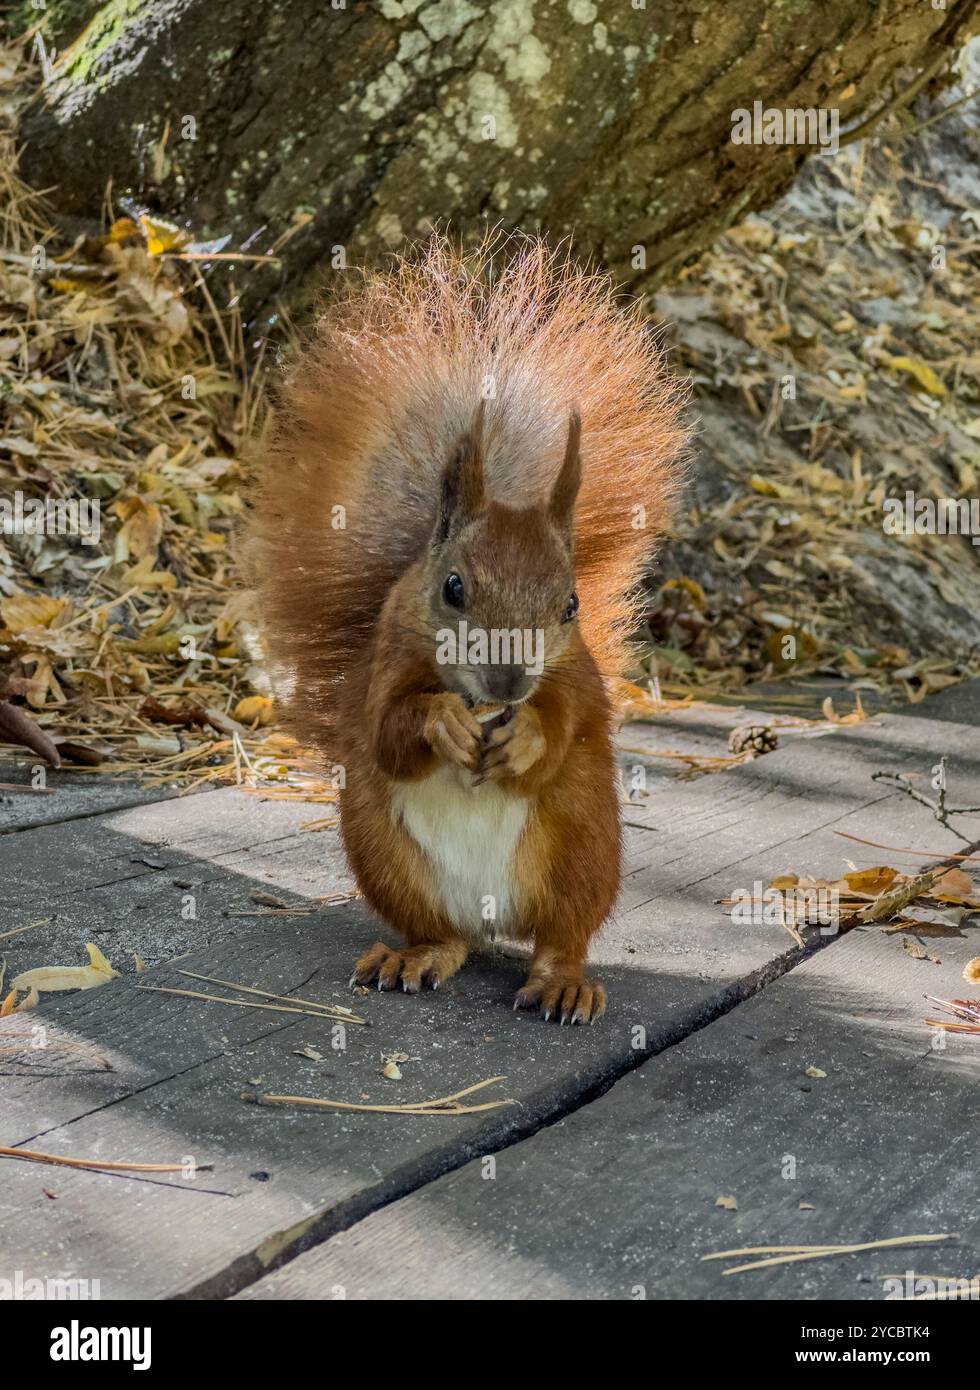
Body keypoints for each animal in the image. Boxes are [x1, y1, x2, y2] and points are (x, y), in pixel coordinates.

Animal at [250, 234, 688, 1023]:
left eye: (571, 605)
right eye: (453, 588)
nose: (508, 685)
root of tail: (492, 917)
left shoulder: (577, 680)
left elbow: (566, 726)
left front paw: (528, 736)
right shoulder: (385, 660)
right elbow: (388, 732)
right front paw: (441, 722)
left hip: (584, 850)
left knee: (563, 933)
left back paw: (563, 979)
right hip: (384, 853)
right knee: (443, 933)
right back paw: (418, 955)